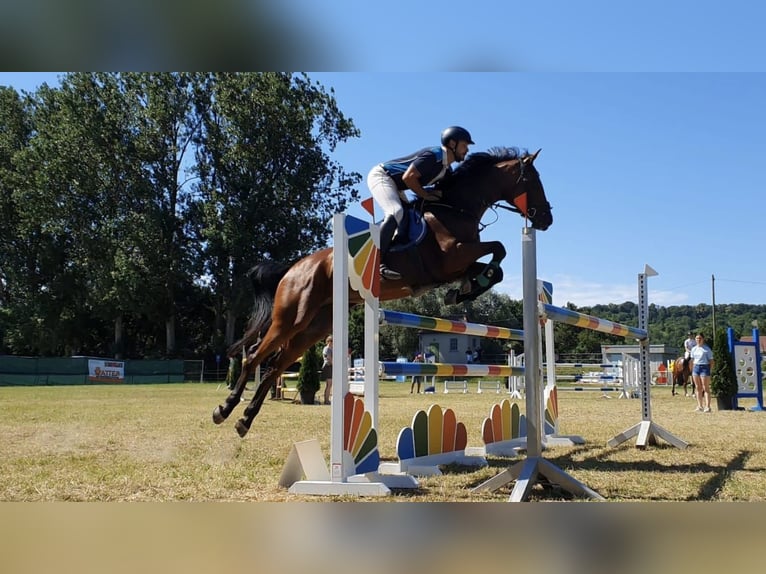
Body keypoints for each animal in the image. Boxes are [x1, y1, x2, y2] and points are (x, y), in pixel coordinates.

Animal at [213, 146, 556, 438]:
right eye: (534, 180)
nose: (547, 219)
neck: (456, 209)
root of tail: (295, 267)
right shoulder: (453, 256)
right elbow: (498, 248)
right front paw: (467, 290)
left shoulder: (457, 265)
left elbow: (495, 265)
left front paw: (465, 291)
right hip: (291, 318)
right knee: (254, 357)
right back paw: (225, 409)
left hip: (314, 327)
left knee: (275, 366)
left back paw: (244, 420)